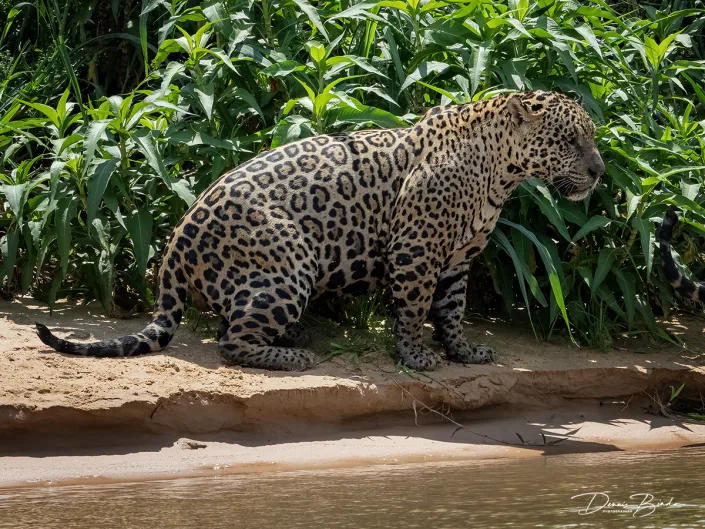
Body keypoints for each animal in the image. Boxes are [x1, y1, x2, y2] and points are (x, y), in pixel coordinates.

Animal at [36, 90, 604, 371]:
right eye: (571, 141)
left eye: (591, 138)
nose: (600, 172)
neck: (500, 170)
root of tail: (173, 250)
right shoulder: (416, 249)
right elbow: (415, 307)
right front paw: (416, 357)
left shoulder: (459, 257)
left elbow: (452, 310)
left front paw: (463, 352)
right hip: (289, 263)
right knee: (229, 341)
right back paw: (294, 355)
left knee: (232, 325)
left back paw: (295, 335)